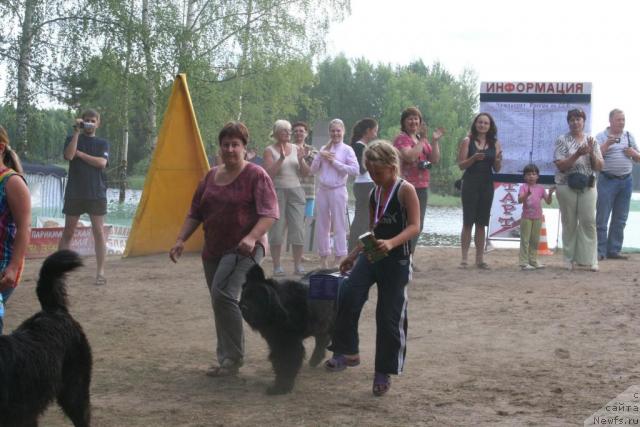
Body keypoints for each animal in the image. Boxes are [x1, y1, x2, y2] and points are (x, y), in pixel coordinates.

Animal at [240, 266, 338, 396]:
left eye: (256, 297)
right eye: (245, 296)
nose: (243, 307)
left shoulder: (290, 342)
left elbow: (288, 363)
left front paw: (281, 387)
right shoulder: (275, 341)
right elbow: (278, 361)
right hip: (322, 322)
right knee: (322, 340)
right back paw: (315, 360)